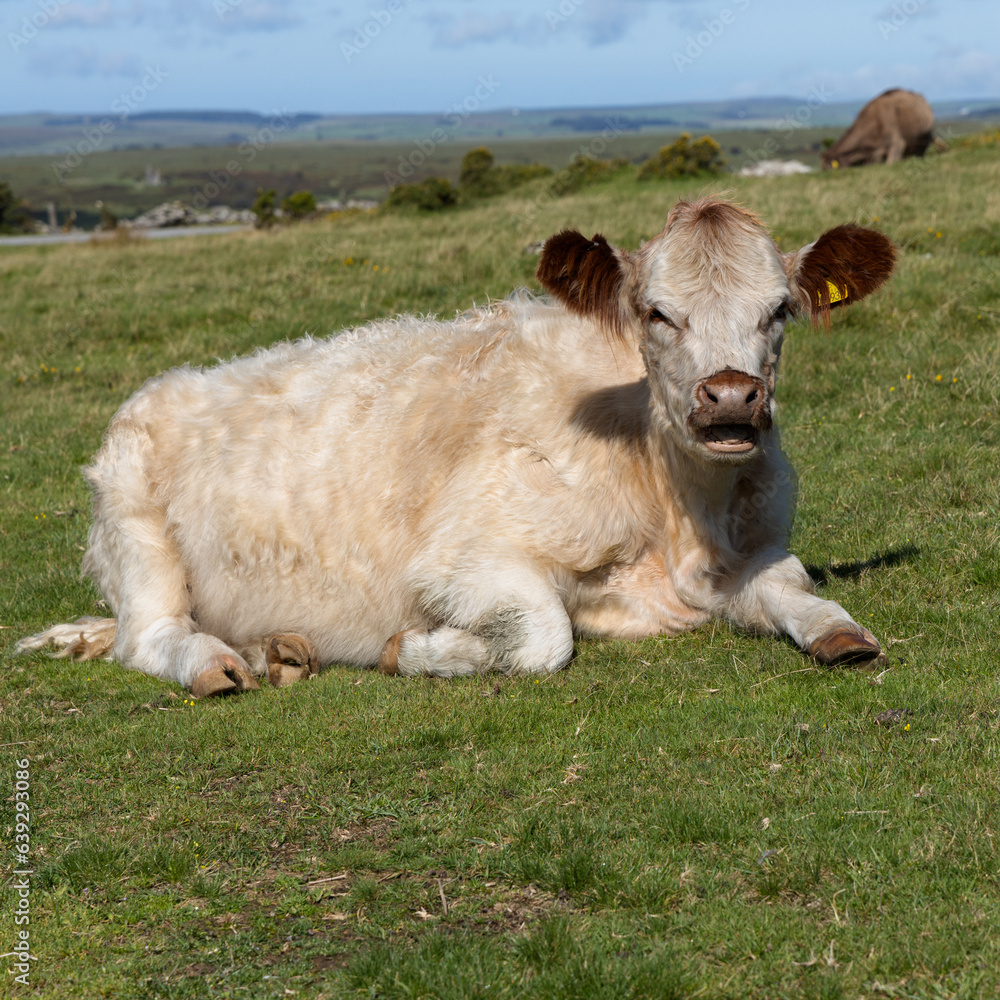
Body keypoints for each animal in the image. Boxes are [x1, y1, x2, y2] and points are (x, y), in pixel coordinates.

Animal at [18, 199, 896, 697]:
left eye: (779, 309)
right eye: (656, 312)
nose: (730, 399)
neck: (683, 518)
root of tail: (164, 383)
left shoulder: (757, 549)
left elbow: (802, 590)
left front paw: (841, 636)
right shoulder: (460, 561)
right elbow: (544, 634)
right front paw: (412, 650)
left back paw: (276, 651)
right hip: (137, 531)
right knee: (147, 636)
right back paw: (218, 664)